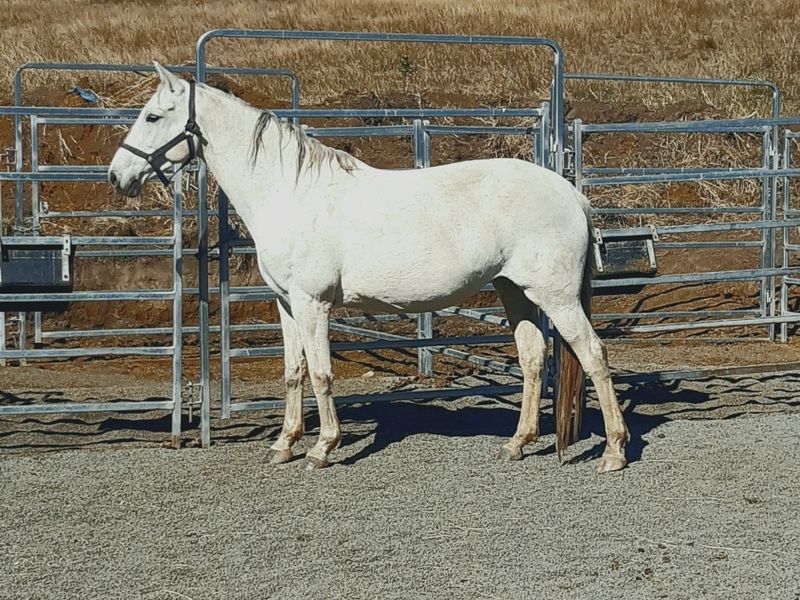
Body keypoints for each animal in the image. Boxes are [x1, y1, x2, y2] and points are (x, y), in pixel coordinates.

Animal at [109, 63, 629, 472]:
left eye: (153, 115)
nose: (117, 176)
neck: (289, 193)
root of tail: (571, 194)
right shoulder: (287, 304)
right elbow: (294, 371)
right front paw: (283, 445)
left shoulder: (313, 303)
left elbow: (321, 373)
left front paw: (322, 448)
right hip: (514, 290)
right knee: (533, 357)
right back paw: (518, 443)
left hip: (556, 297)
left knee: (593, 355)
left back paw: (614, 452)